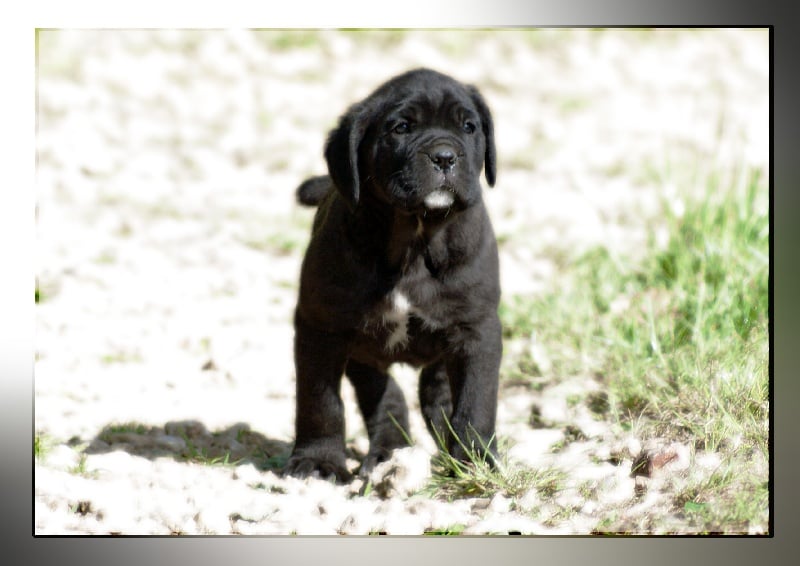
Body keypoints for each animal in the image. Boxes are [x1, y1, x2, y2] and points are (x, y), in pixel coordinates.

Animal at [286, 67, 500, 484]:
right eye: (401, 128)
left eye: (469, 127)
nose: (445, 156)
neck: (415, 237)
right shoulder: (321, 328)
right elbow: (320, 402)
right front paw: (319, 461)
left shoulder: (476, 329)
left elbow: (476, 401)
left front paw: (476, 460)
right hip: (363, 352)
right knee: (386, 400)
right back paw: (387, 454)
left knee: (436, 393)